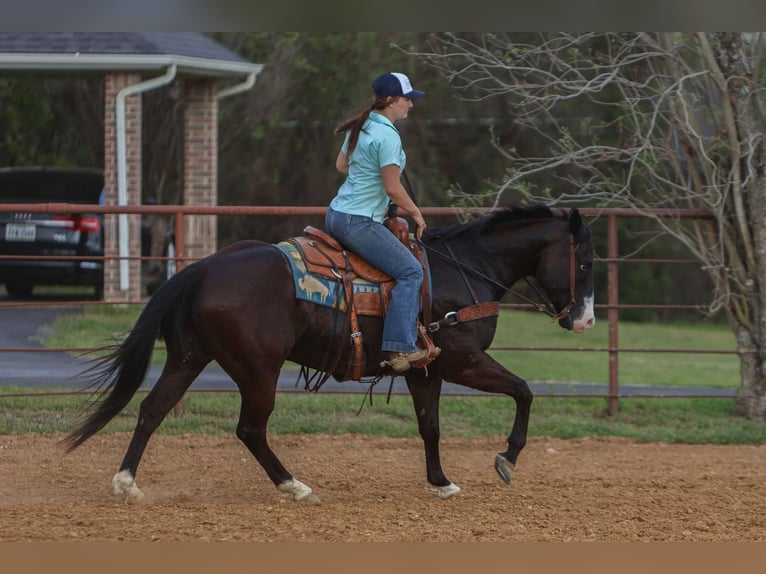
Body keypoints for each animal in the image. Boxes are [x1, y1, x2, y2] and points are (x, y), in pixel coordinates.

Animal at [64, 204, 595, 503]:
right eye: (586, 261)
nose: (585, 319)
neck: (463, 270)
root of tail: (201, 269)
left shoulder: (426, 370)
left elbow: (430, 426)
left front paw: (441, 482)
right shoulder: (462, 360)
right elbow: (523, 391)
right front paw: (507, 459)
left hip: (189, 357)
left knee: (152, 410)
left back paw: (127, 484)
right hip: (258, 370)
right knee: (250, 429)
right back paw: (294, 486)